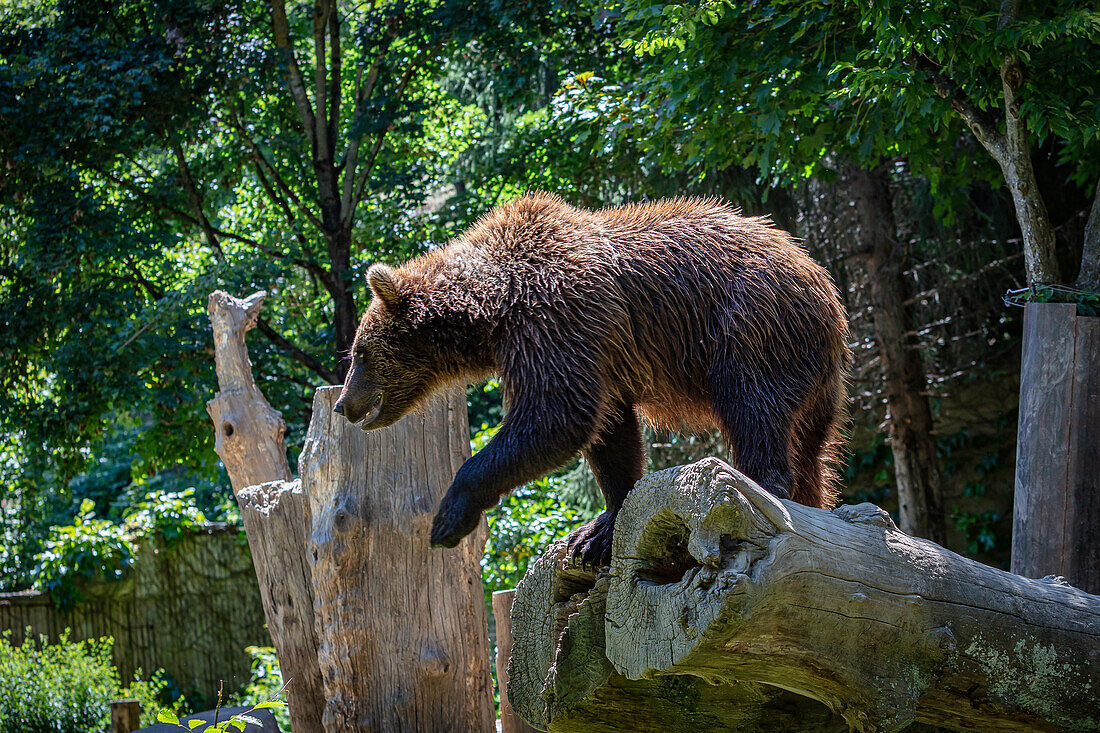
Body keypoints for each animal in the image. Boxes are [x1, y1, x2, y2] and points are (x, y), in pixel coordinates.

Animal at [334, 191, 849, 561]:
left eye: (360, 353)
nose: (343, 404)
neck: (493, 311)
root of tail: (823, 284)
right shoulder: (601, 355)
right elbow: (610, 431)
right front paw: (600, 529)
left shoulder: (556, 316)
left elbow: (557, 415)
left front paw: (448, 517)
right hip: (815, 383)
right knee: (810, 449)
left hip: (749, 327)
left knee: (754, 408)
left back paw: (762, 485)